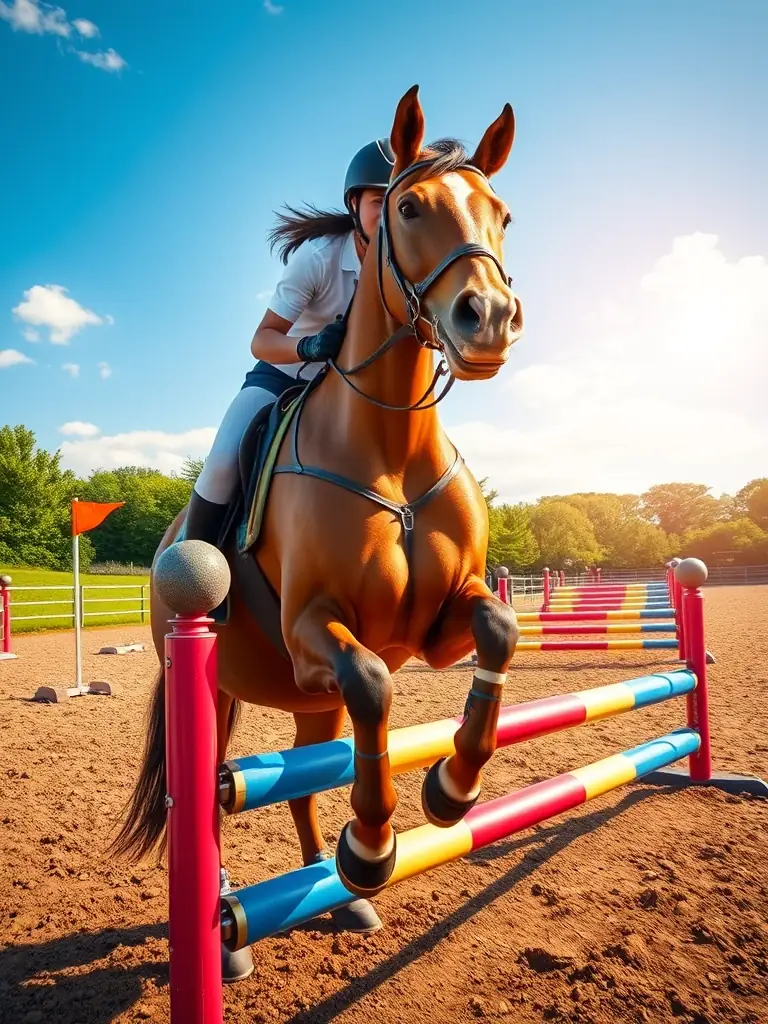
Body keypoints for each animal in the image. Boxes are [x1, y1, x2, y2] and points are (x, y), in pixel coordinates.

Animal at [113, 84, 523, 976]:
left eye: (503, 213)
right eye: (408, 206)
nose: (488, 319)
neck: (389, 447)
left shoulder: (439, 627)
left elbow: (499, 632)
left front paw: (451, 790)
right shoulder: (314, 630)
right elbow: (373, 681)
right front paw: (371, 848)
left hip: (311, 701)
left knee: (310, 773)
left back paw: (334, 891)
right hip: (215, 679)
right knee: (214, 797)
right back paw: (233, 935)